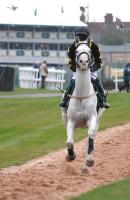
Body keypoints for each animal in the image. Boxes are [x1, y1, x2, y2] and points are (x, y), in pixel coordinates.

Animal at [60, 41, 104, 170]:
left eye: (89, 51)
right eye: (76, 51)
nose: (83, 62)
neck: (82, 95)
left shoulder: (93, 118)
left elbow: (90, 135)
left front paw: (89, 160)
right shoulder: (70, 121)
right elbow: (69, 142)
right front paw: (71, 155)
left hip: (98, 120)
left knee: (92, 136)